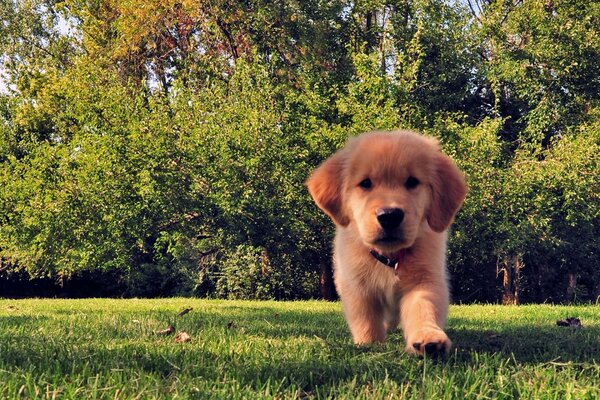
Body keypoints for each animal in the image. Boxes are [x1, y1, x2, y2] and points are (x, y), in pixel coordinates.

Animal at [304, 130, 468, 356]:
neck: (390, 257)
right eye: (365, 183)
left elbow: (423, 307)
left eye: (412, 182)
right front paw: (369, 342)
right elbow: (365, 317)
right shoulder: (355, 282)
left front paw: (428, 336)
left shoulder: (425, 278)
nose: (390, 215)